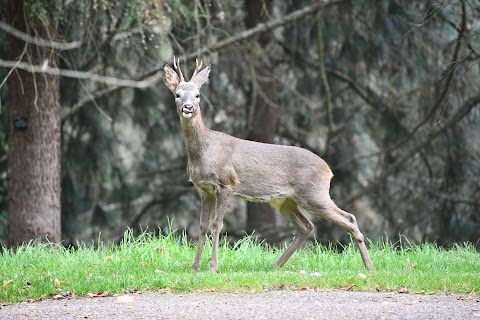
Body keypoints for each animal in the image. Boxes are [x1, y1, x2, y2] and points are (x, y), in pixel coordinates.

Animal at [163, 56, 374, 272]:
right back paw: (276, 264)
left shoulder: (227, 184)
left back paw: (369, 266)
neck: (204, 152)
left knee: (349, 218)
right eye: (178, 94)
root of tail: (328, 169)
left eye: (197, 95)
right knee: (306, 226)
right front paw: (195, 267)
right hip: (285, 200)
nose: (188, 107)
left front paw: (213, 267)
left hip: (314, 194)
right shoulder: (204, 190)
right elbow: (202, 226)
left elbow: (217, 225)